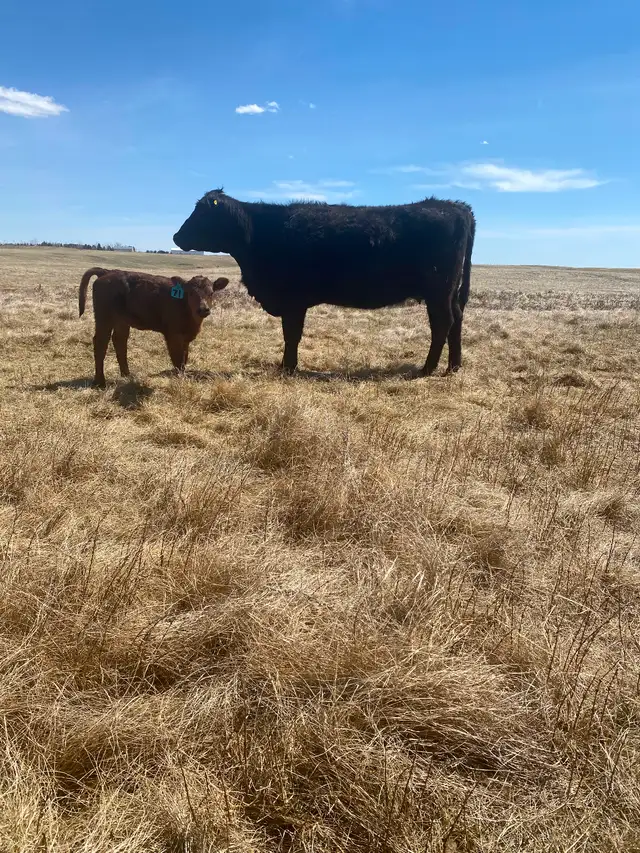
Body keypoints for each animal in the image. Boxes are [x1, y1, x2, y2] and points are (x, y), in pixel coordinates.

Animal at [78, 267, 229, 388]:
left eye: (211, 293)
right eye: (190, 293)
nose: (203, 309)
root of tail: (106, 272)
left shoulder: (185, 338)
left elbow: (184, 359)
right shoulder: (173, 336)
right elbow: (177, 359)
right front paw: (179, 380)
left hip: (122, 321)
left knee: (119, 341)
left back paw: (127, 375)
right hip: (104, 319)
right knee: (101, 343)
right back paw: (100, 382)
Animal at [173, 190, 475, 375]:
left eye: (202, 214)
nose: (176, 237)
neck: (260, 233)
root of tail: (455, 206)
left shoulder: (293, 301)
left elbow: (291, 335)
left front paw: (288, 367)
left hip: (438, 291)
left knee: (443, 323)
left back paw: (428, 368)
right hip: (448, 292)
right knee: (456, 320)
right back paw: (453, 367)